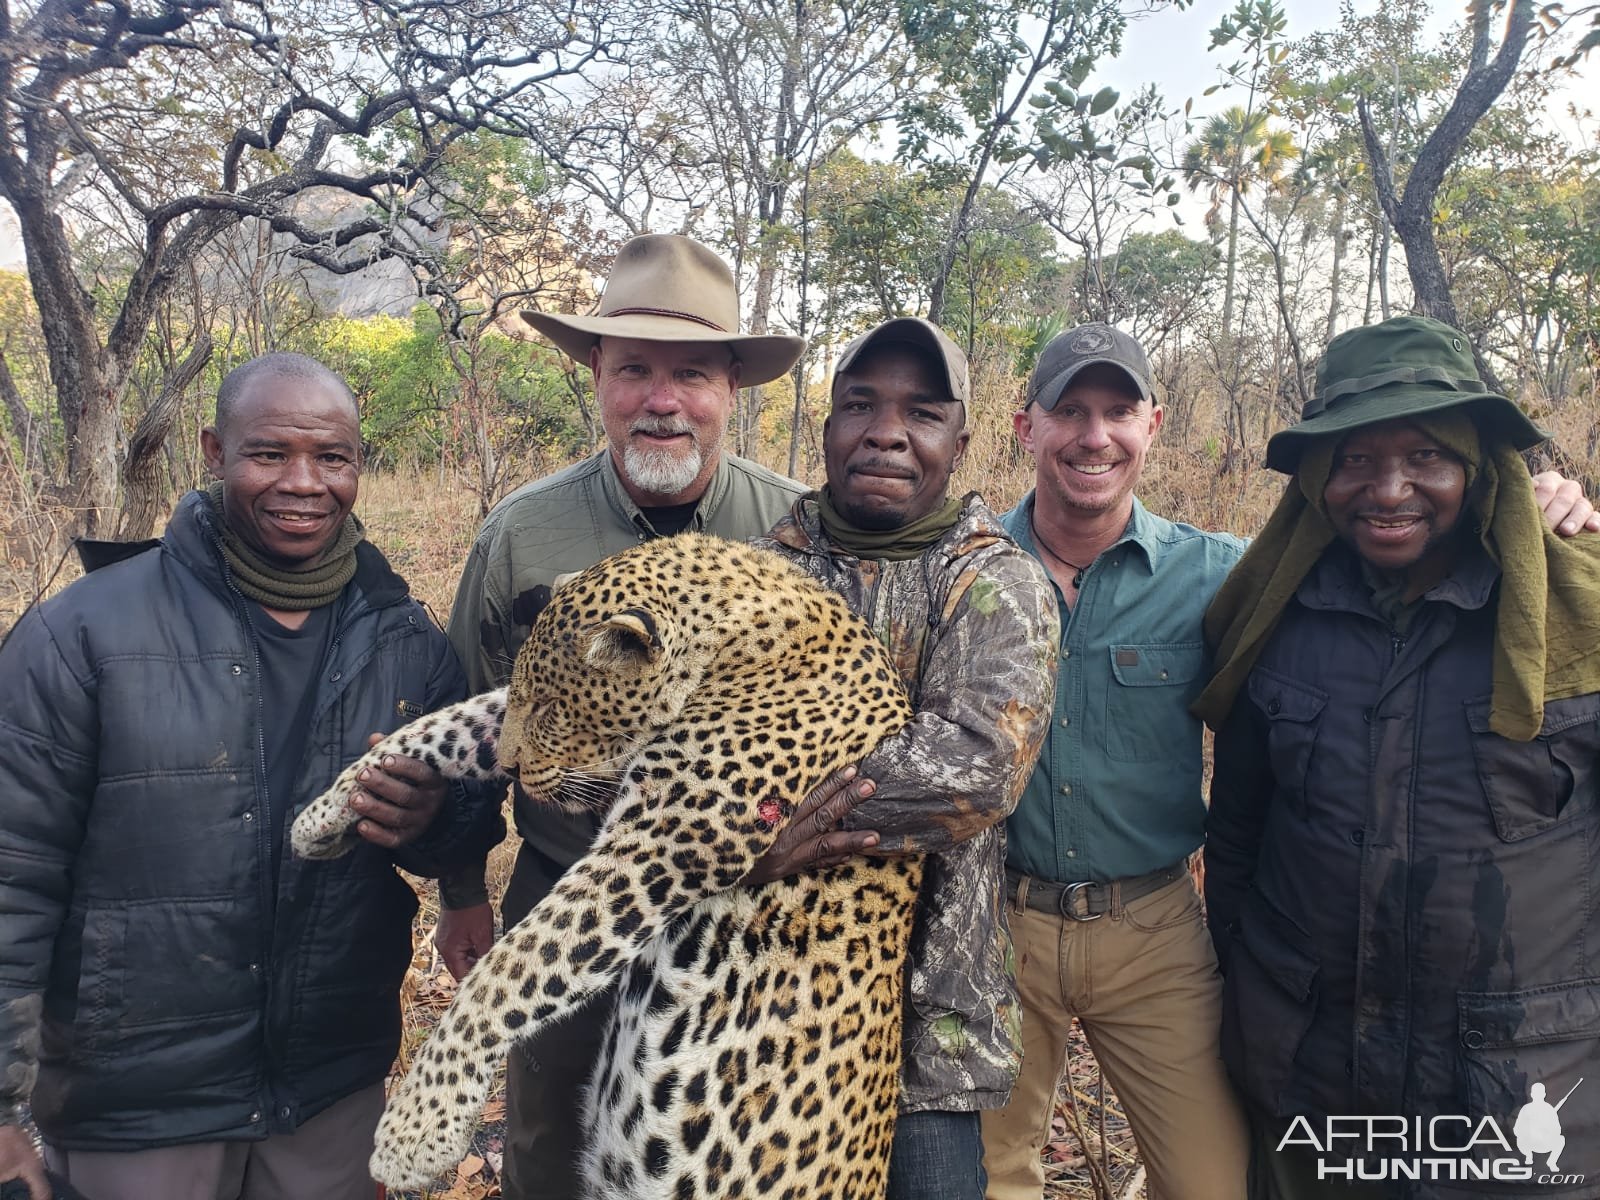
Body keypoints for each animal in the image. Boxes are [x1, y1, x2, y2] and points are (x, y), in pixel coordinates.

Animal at [289, 537, 928, 1200]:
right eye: (526, 696)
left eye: (551, 707)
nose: (510, 770)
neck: (731, 642)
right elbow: (445, 725)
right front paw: (321, 815)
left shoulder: (657, 846)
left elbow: (509, 968)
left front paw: (415, 1131)